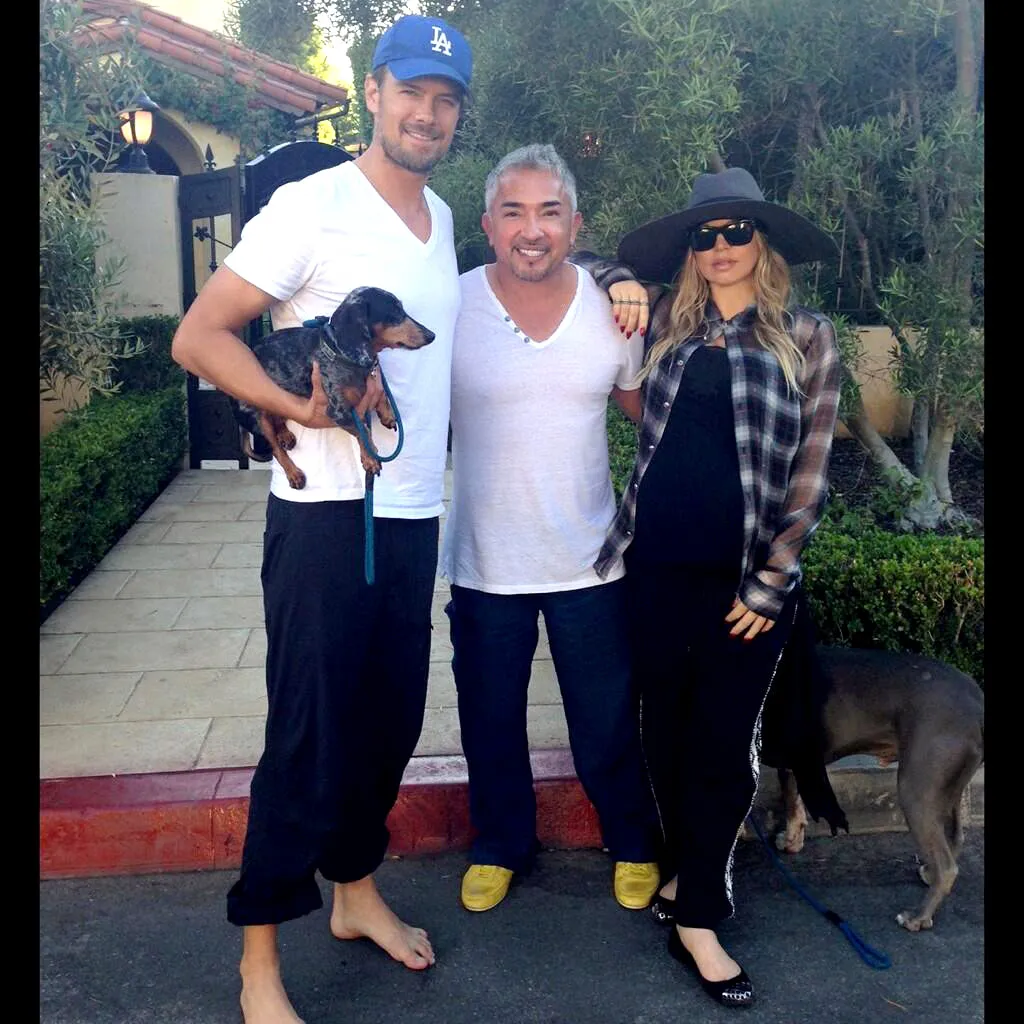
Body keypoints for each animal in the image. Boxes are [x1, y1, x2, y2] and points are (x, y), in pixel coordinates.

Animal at [231, 287, 434, 489]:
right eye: (395, 312)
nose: (432, 335)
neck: (340, 354)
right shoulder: (339, 412)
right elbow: (363, 431)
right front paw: (370, 458)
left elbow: (381, 391)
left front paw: (387, 414)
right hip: (257, 419)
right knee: (275, 448)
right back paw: (293, 473)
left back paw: (285, 435)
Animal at [768, 644, 984, 933]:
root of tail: (977, 700)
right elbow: (792, 799)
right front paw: (791, 841)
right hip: (949, 787)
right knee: (954, 837)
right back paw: (929, 875)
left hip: (916, 789)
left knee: (947, 865)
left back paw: (917, 916)